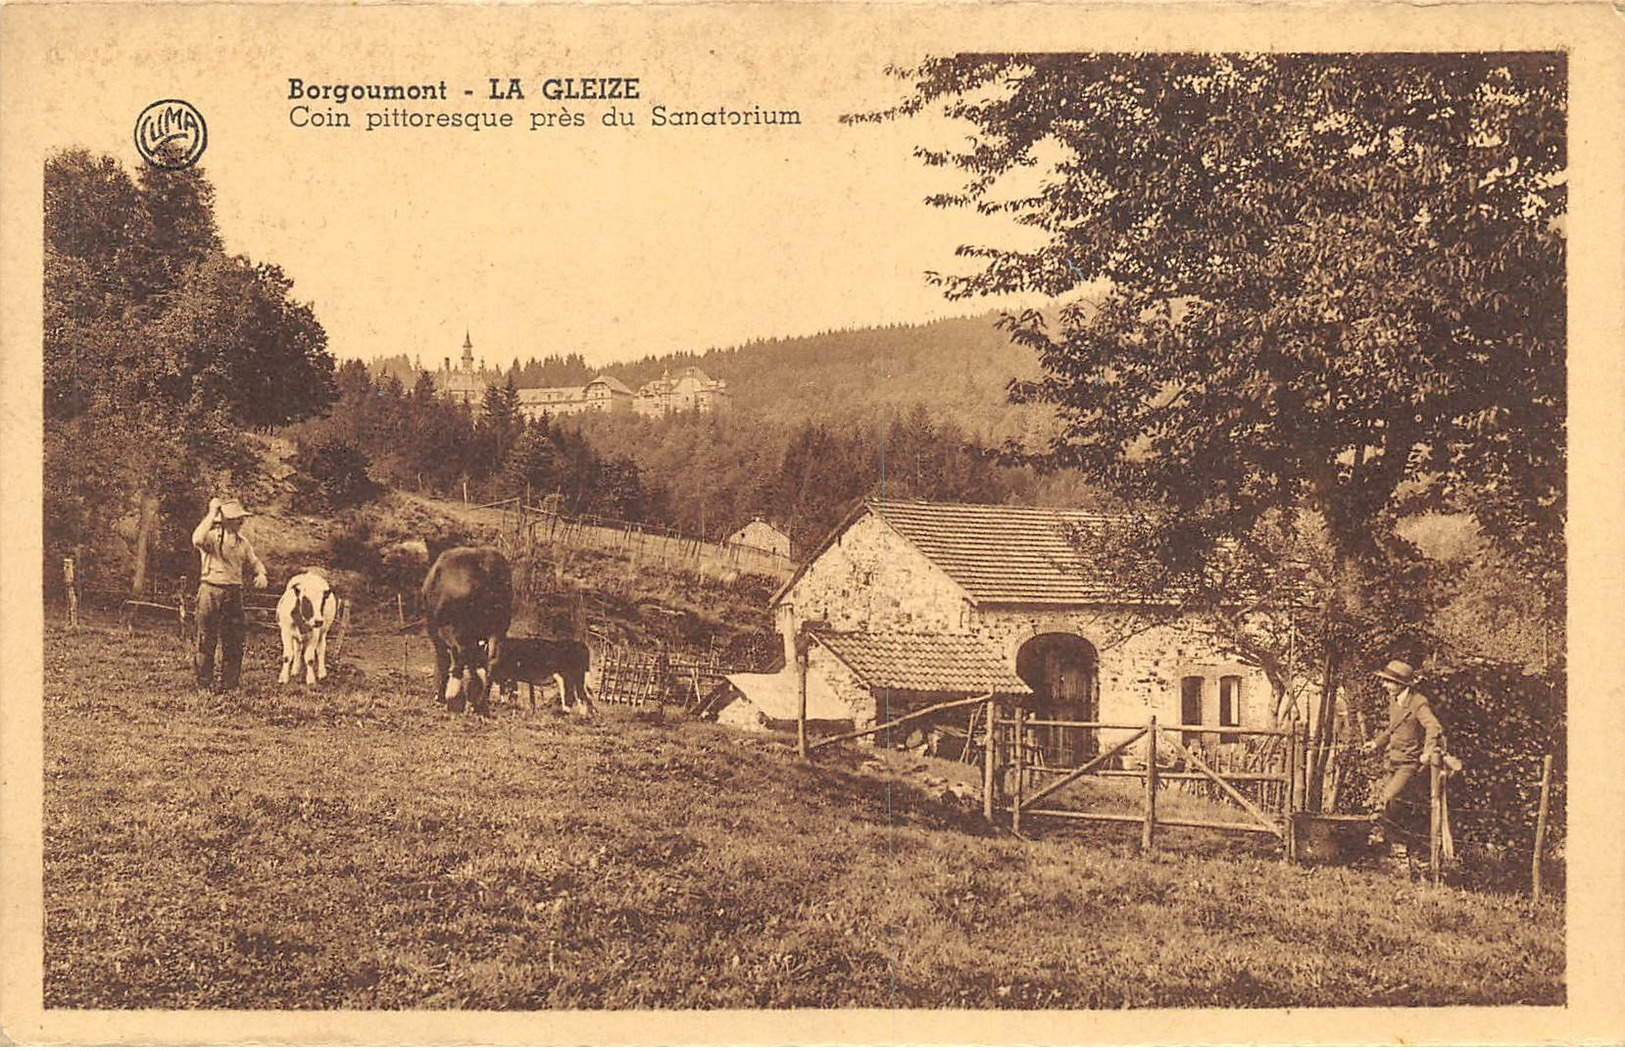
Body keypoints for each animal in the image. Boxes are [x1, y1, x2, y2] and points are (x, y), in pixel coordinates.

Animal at [422, 552, 510, 714]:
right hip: (500, 628)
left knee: (461, 655)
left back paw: (458, 699)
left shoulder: (436, 631)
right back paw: (481, 701)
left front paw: (442, 696)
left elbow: (444, 660)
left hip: (457, 629)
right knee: (491, 660)